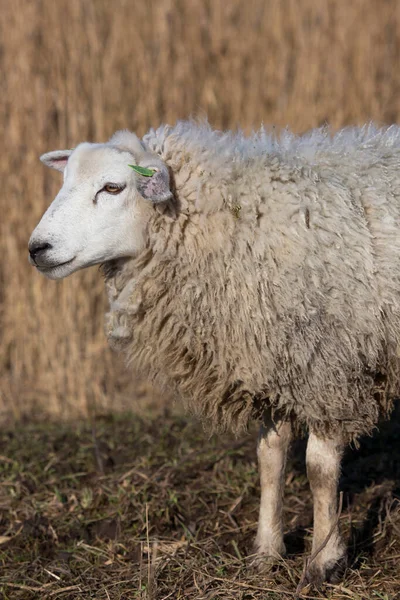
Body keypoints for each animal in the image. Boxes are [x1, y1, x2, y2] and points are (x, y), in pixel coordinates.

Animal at [28, 122, 400, 584]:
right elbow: (270, 458)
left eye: (112, 187)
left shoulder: (329, 366)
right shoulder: (270, 358)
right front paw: (266, 552)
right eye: (64, 181)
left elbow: (319, 469)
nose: (37, 248)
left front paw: (324, 560)